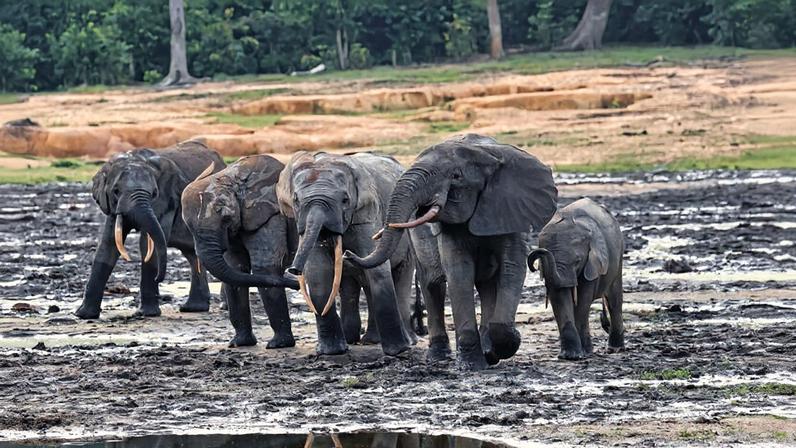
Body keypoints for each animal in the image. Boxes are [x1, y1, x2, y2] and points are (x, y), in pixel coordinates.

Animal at [75, 140, 225, 319]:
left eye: (154, 193)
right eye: (116, 191)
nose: (158, 279)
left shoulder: (167, 202)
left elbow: (147, 245)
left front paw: (147, 313)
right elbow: (108, 245)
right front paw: (83, 315)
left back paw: (223, 306)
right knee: (192, 254)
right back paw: (193, 308)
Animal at [181, 155, 301, 348]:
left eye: (226, 218)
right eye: (188, 226)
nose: (296, 283)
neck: (233, 178)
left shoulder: (271, 216)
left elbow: (265, 269)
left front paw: (278, 345)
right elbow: (235, 270)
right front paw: (239, 344)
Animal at [276, 151, 414, 356]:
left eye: (345, 201)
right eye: (296, 201)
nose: (293, 270)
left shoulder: (366, 214)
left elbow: (378, 270)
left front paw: (397, 351)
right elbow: (319, 271)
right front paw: (331, 352)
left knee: (401, 275)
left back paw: (407, 342)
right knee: (353, 284)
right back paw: (360, 340)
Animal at [345, 134, 558, 370]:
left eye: (456, 176)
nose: (347, 254)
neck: (486, 154)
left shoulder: (510, 208)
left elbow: (512, 267)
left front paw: (499, 348)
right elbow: (459, 271)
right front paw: (473, 365)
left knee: (486, 285)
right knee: (433, 283)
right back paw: (439, 356)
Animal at [527, 197, 625, 360]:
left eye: (577, 261)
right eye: (541, 264)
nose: (538, 253)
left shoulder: (592, 263)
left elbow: (583, 299)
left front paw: (581, 354)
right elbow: (560, 297)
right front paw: (570, 356)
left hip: (619, 255)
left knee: (614, 300)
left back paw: (615, 349)